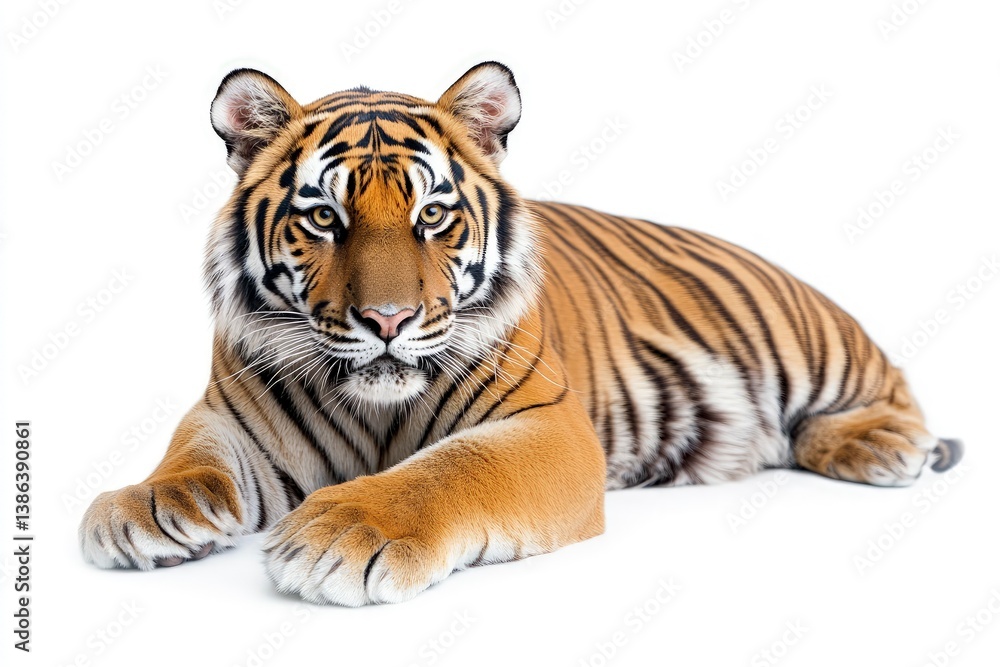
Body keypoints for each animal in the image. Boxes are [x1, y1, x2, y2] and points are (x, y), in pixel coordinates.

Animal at [79, 61, 963, 606]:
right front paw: (139, 507)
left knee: (888, 392)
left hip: (813, 338)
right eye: (324, 218)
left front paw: (342, 531)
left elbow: (449, 469)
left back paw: (883, 446)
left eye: (432, 214)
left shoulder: (550, 426)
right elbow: (191, 453)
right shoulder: (231, 409)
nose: (388, 321)